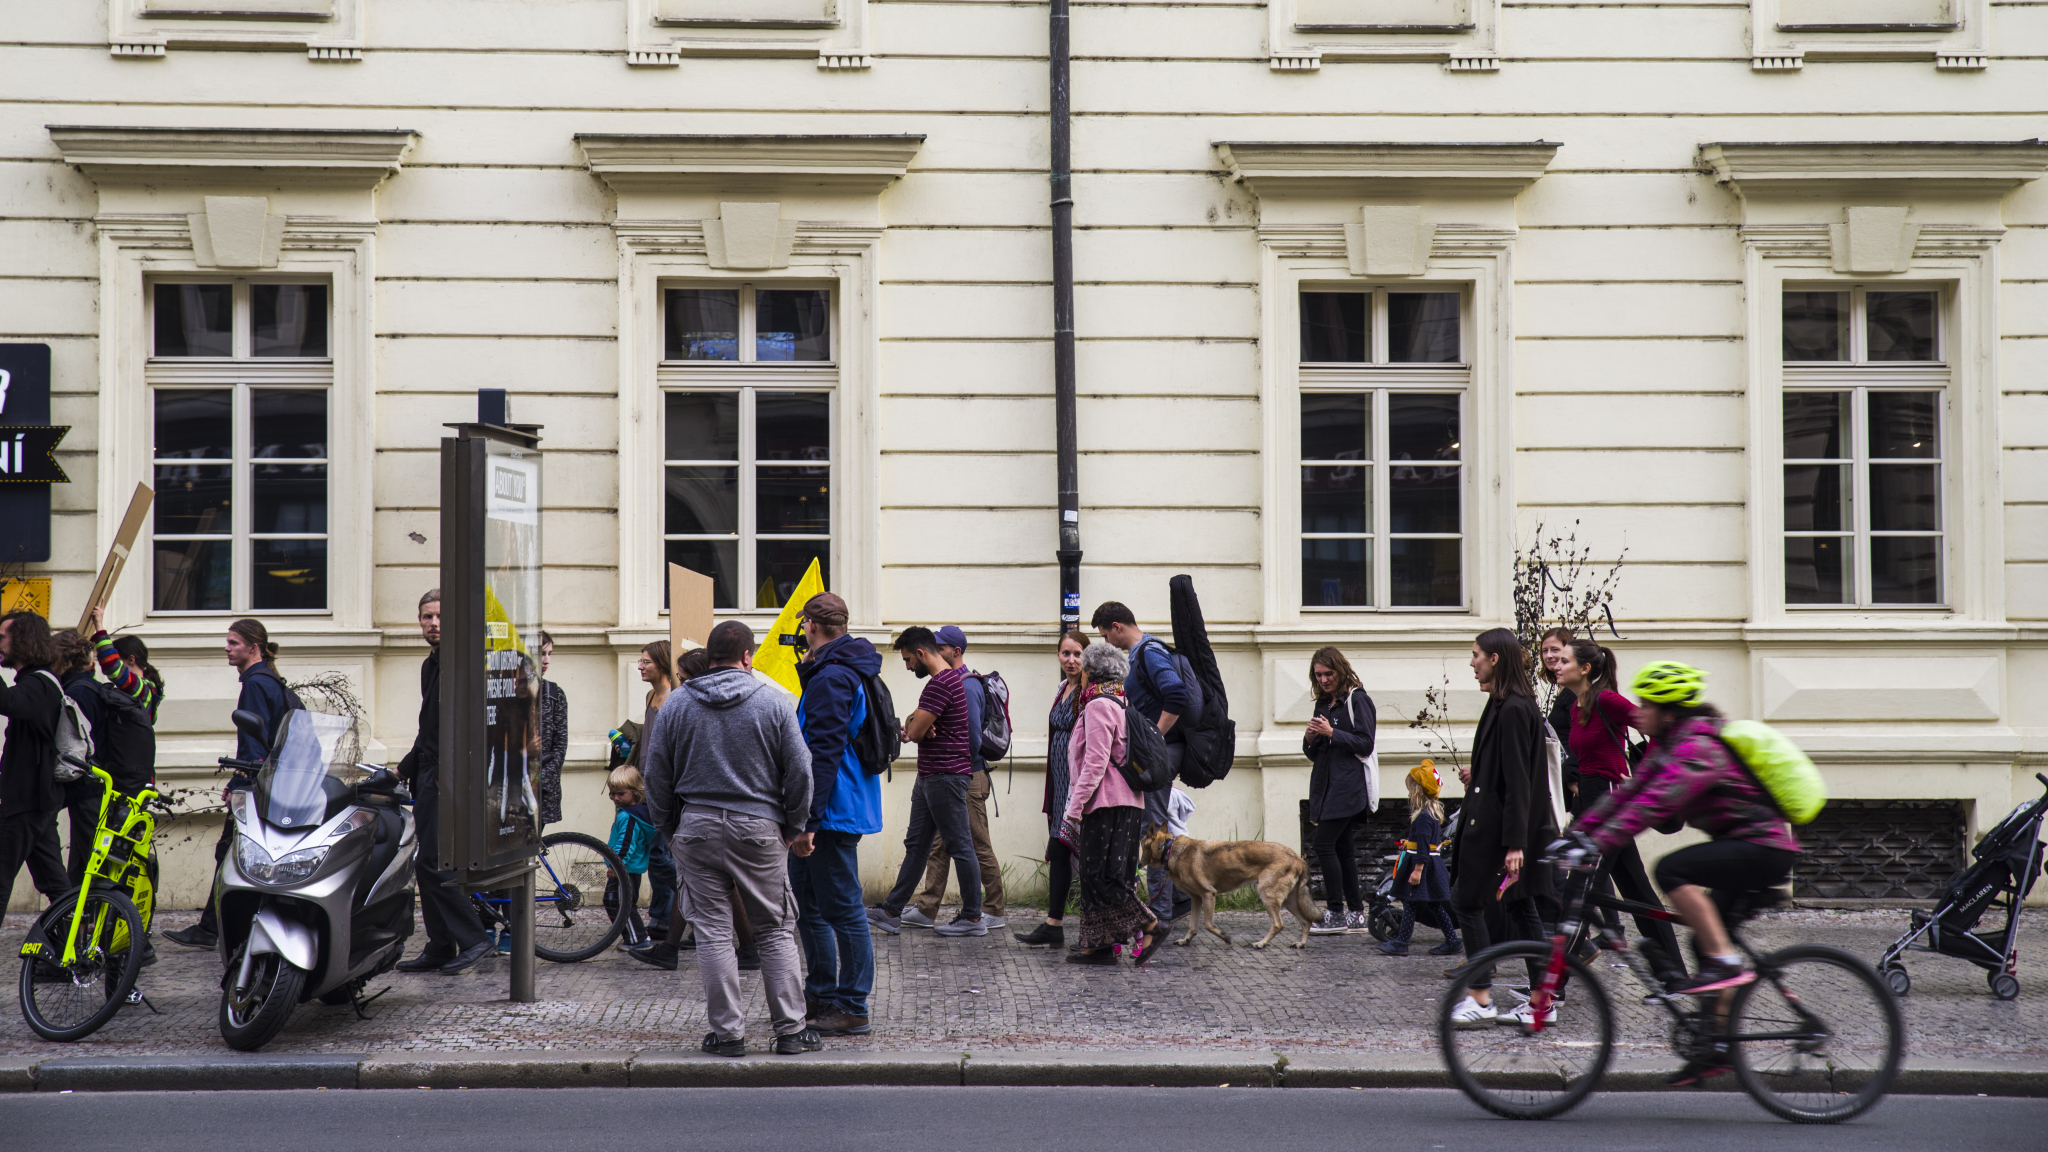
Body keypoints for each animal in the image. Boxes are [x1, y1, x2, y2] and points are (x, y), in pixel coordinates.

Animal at [1130, 828, 1318, 947]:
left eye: (1139, 846)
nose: (1136, 864)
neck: (1168, 849)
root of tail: (1298, 857)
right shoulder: (1196, 899)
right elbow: (1192, 925)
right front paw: (1186, 940)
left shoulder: (1208, 894)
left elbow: (1207, 924)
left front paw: (1225, 937)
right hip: (1288, 899)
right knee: (1306, 921)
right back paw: (1301, 943)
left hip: (1268, 895)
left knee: (1279, 924)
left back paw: (1262, 943)